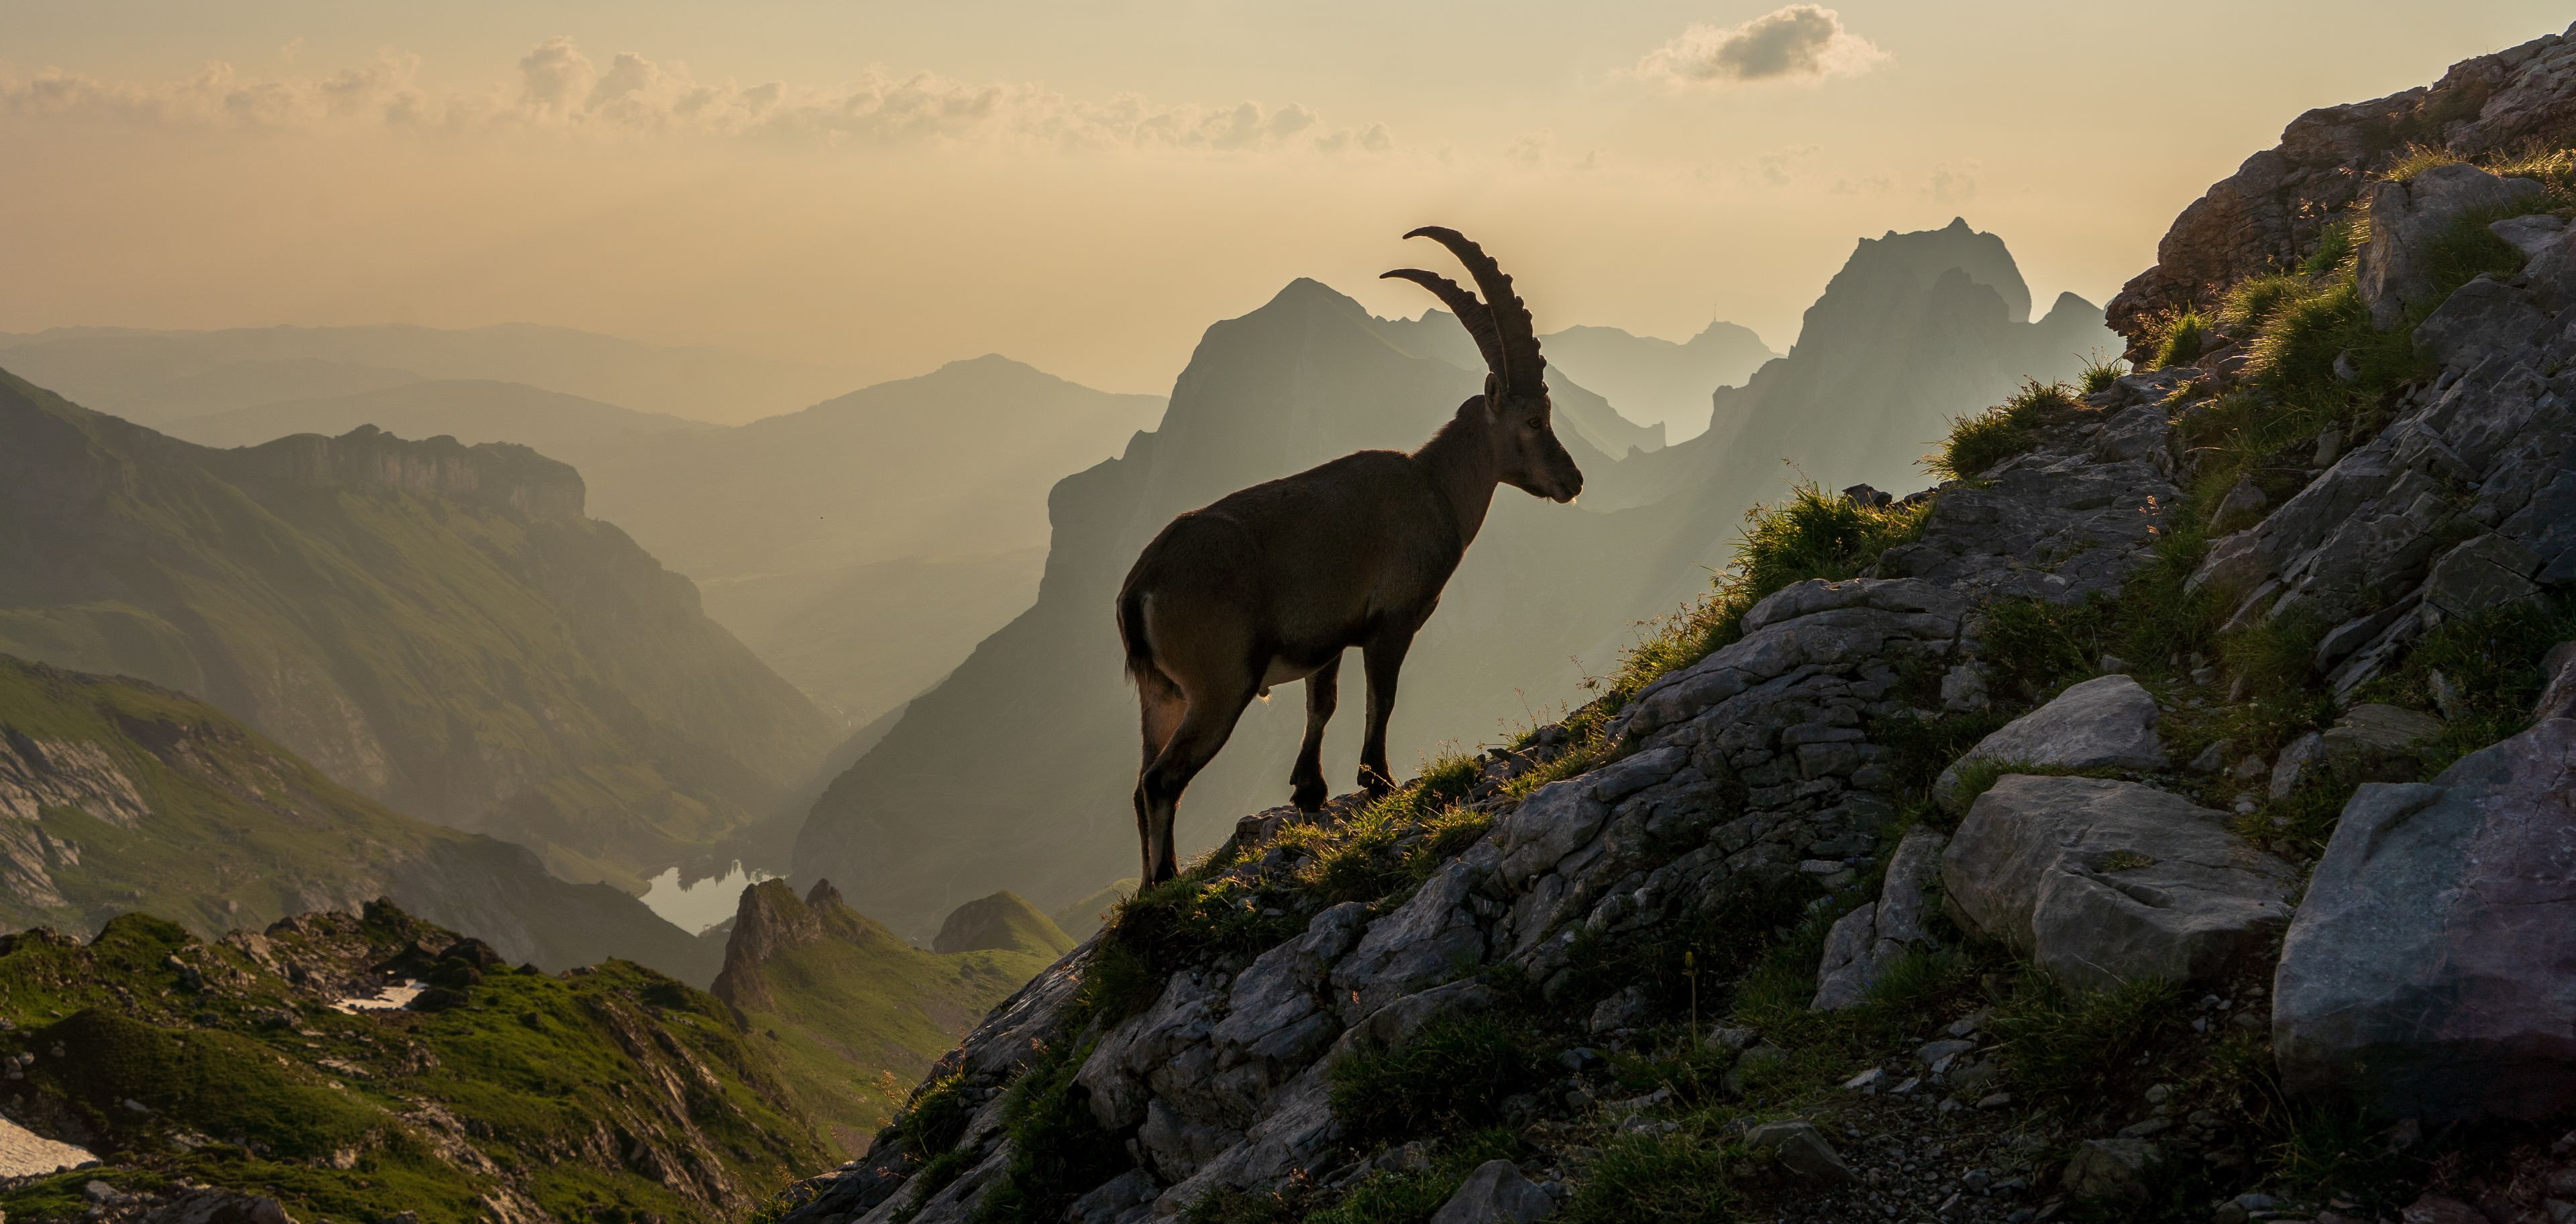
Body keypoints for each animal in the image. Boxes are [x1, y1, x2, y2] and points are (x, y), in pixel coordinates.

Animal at [1114, 227, 1584, 884]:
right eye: (1536, 420)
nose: (1573, 480)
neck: (1434, 487)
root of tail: (1141, 588)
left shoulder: (1326, 640)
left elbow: (1323, 705)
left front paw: (1309, 789)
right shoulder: (1393, 620)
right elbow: (1380, 698)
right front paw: (1378, 781)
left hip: (1161, 695)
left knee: (1140, 783)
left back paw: (1151, 886)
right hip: (1219, 685)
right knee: (1162, 781)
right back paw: (1167, 881)